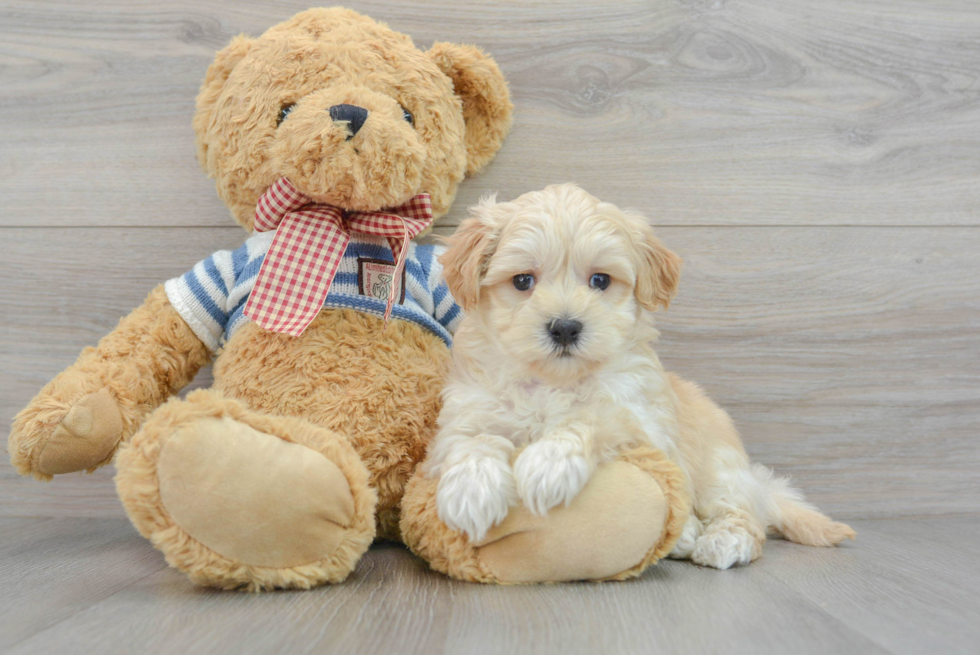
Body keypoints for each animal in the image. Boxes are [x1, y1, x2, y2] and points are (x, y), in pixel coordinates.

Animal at [424, 183, 852, 568]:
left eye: (600, 280)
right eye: (523, 281)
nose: (565, 328)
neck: (553, 381)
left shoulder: (644, 423)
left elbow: (595, 416)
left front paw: (548, 462)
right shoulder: (465, 414)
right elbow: (474, 440)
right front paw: (472, 489)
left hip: (717, 468)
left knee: (744, 516)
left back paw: (722, 541)